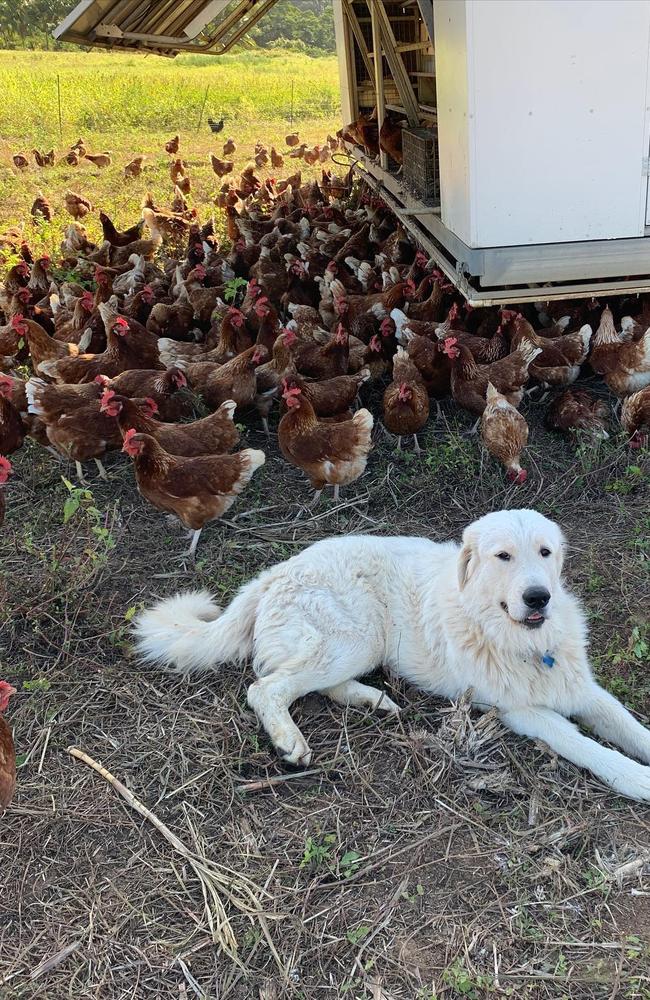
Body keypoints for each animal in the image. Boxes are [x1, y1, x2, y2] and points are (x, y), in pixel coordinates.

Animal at [134, 512, 648, 800]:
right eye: (503, 556)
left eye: (544, 552)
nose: (539, 597)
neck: (522, 642)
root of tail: (274, 572)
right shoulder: (520, 712)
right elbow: (586, 746)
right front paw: (637, 780)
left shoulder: (582, 689)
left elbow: (630, 726)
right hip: (356, 638)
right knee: (265, 688)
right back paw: (290, 741)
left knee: (315, 685)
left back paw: (373, 700)